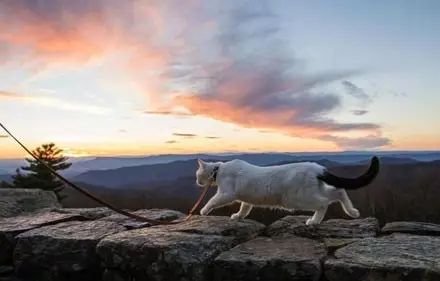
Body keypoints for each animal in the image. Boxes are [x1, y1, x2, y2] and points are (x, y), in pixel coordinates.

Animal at [196, 156, 378, 224]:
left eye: (197, 174)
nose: (197, 181)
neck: (219, 170)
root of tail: (317, 168)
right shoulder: (247, 199)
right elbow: (244, 208)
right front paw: (238, 216)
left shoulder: (226, 194)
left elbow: (212, 201)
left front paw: (203, 211)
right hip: (313, 191)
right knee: (339, 191)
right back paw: (352, 212)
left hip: (298, 198)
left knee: (324, 203)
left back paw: (314, 221)